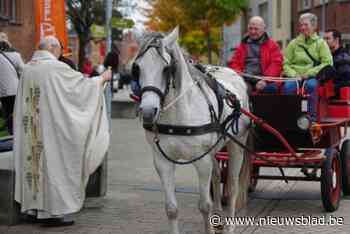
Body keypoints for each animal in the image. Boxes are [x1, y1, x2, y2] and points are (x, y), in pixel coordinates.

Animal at [134, 27, 252, 234]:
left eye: (166, 69)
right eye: (137, 68)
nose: (148, 112)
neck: (179, 114)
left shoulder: (202, 161)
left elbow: (204, 205)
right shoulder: (162, 162)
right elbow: (171, 209)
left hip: (237, 144)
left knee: (232, 185)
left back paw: (229, 225)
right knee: (217, 177)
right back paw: (218, 218)